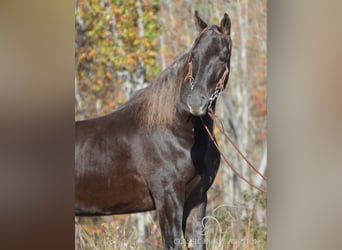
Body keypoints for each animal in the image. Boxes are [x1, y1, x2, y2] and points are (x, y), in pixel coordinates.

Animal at [75, 10, 232, 249]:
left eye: (222, 57)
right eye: (193, 56)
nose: (195, 102)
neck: (174, 131)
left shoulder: (197, 200)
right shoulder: (168, 200)